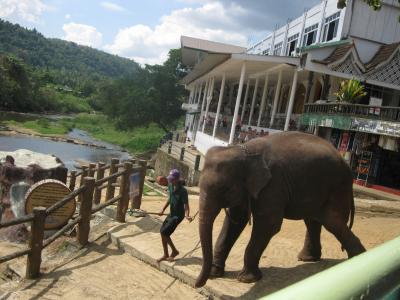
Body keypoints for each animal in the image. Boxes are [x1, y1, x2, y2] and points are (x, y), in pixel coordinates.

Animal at [195, 131, 368, 288]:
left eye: (226, 189)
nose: (198, 284)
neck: (244, 150)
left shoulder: (273, 184)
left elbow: (268, 224)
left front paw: (246, 279)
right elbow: (235, 221)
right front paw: (214, 273)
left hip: (337, 187)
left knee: (332, 221)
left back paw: (358, 259)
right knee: (314, 220)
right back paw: (308, 259)